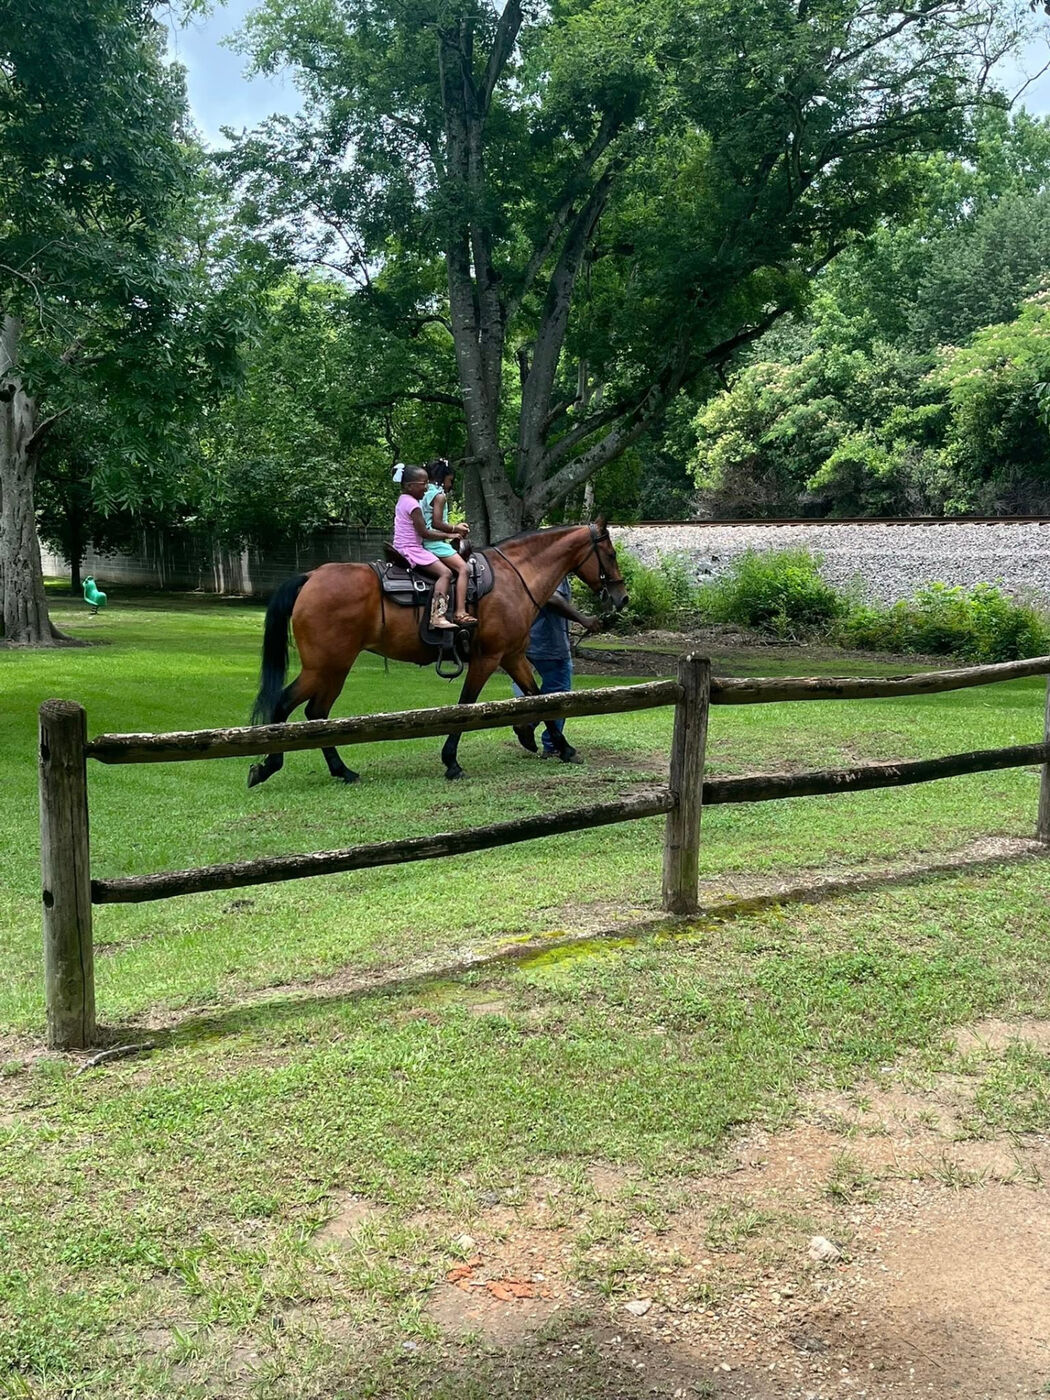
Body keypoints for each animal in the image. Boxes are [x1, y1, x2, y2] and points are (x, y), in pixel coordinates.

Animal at [247, 520, 629, 786]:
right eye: (611, 554)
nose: (622, 597)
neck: (514, 577)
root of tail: (311, 576)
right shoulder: (488, 658)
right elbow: (466, 707)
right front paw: (452, 762)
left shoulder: (512, 656)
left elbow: (538, 698)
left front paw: (557, 745)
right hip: (326, 667)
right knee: (291, 706)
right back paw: (271, 765)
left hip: (332, 669)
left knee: (317, 714)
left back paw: (341, 770)